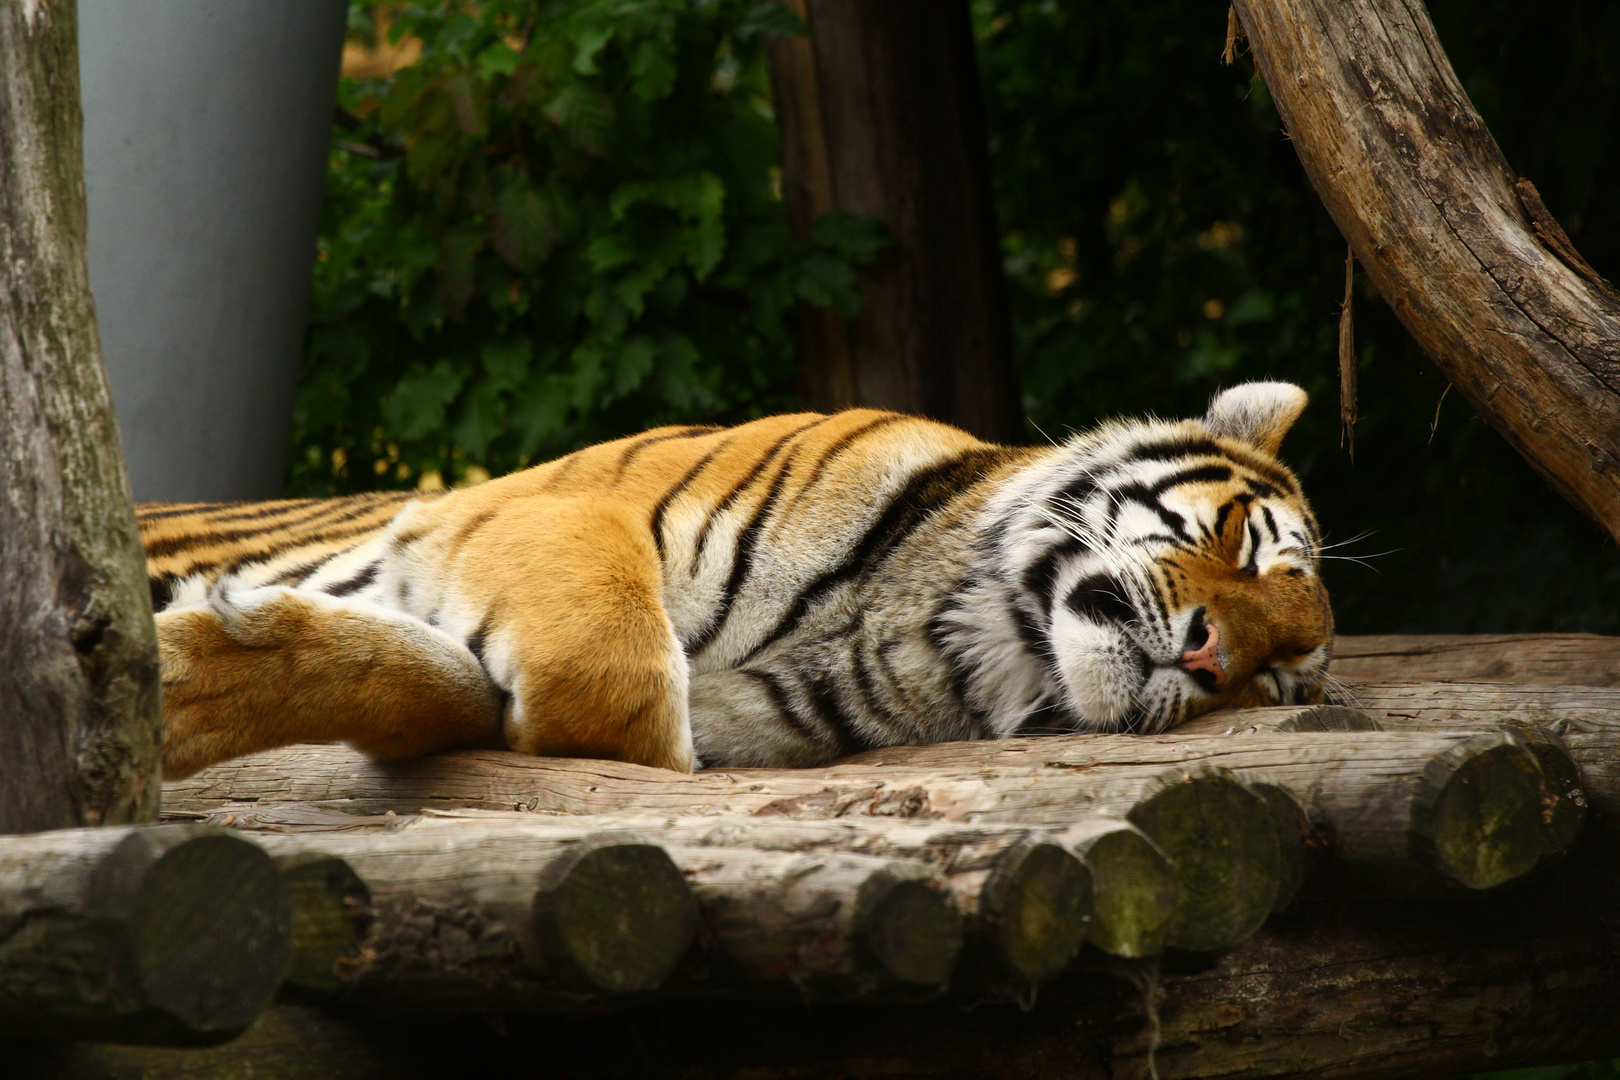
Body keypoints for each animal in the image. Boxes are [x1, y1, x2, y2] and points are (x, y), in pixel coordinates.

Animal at [142, 380, 1328, 777]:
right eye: (1241, 542)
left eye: (1275, 678)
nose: (1213, 656)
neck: (948, 636)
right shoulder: (547, 504)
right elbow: (613, 666)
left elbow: (455, 691)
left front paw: (189, 679)